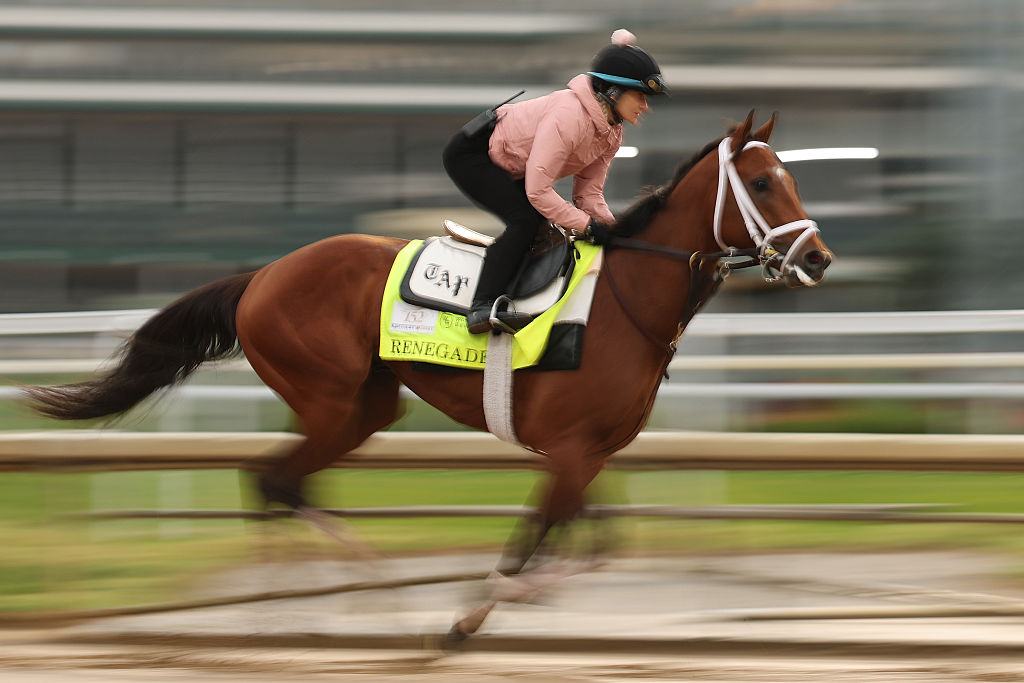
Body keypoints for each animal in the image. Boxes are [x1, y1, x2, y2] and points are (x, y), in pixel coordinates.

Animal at [22, 111, 832, 643]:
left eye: (788, 177)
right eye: (764, 183)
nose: (818, 258)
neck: (624, 302)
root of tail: (263, 275)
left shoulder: (587, 453)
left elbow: (594, 542)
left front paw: (508, 601)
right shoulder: (571, 451)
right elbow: (538, 542)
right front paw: (471, 613)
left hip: (366, 407)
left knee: (279, 480)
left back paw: (321, 603)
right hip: (328, 397)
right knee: (275, 478)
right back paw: (330, 603)